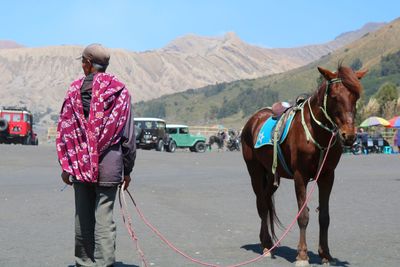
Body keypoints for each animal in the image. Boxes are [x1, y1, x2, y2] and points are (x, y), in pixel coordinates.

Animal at [239, 64, 368, 266]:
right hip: (255, 172)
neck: (315, 132)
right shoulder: (300, 176)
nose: (349, 135)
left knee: (266, 201)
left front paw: (325, 254)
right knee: (261, 204)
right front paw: (302, 255)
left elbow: (324, 217)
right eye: (334, 96)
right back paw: (266, 246)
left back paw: (268, 243)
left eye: (355, 96)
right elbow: (303, 215)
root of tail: (253, 120)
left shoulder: (327, 176)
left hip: (272, 175)